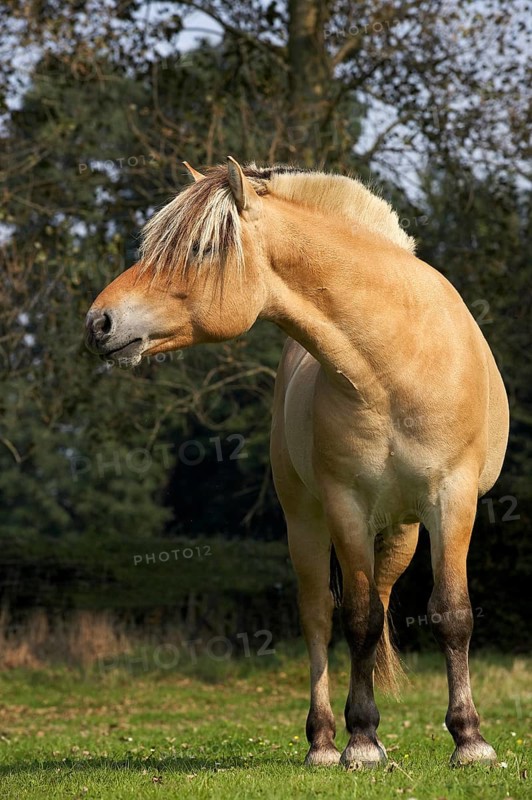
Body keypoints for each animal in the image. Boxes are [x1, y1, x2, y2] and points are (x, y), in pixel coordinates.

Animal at [86, 157, 509, 769]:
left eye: (201, 249)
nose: (99, 322)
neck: (398, 359)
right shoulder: (346, 506)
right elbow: (356, 620)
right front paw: (361, 742)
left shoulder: (451, 500)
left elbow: (451, 613)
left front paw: (470, 740)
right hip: (306, 521)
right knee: (320, 615)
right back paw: (324, 741)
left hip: (402, 530)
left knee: (379, 601)